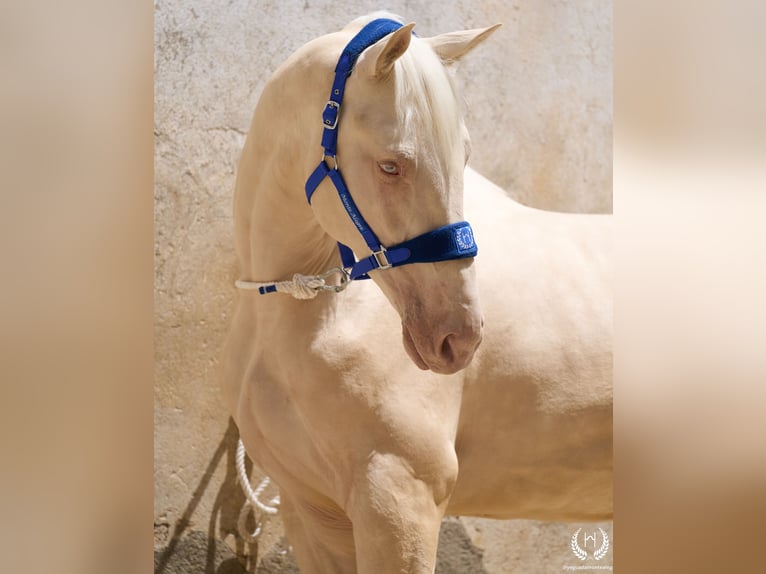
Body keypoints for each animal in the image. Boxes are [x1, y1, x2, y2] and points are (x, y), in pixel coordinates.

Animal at [222, 13, 612, 573]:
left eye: (463, 156)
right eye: (391, 166)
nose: (458, 338)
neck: (311, 315)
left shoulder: (399, 500)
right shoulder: (311, 512)